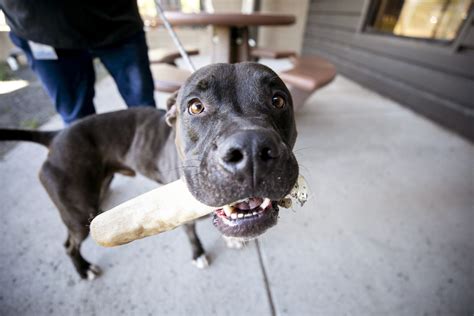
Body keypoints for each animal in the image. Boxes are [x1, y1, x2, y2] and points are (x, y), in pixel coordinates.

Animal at [0, 61, 298, 278]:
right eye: (195, 106)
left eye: (278, 100)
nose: (252, 150)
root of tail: (56, 136)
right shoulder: (183, 217)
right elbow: (192, 235)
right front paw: (198, 253)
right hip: (77, 214)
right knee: (69, 245)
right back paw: (84, 270)